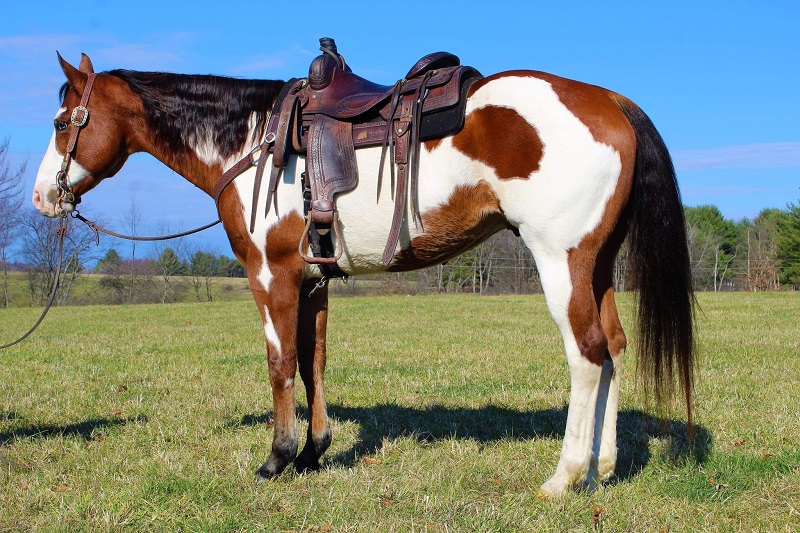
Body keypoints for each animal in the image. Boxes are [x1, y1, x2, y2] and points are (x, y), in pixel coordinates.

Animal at [31, 51, 695, 498]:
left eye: (64, 122)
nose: (43, 198)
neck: (255, 142)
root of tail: (609, 100)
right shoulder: (314, 280)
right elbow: (313, 361)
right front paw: (313, 452)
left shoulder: (270, 276)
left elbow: (279, 364)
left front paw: (276, 459)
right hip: (597, 266)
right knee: (613, 348)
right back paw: (602, 470)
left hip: (561, 260)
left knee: (586, 355)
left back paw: (564, 476)